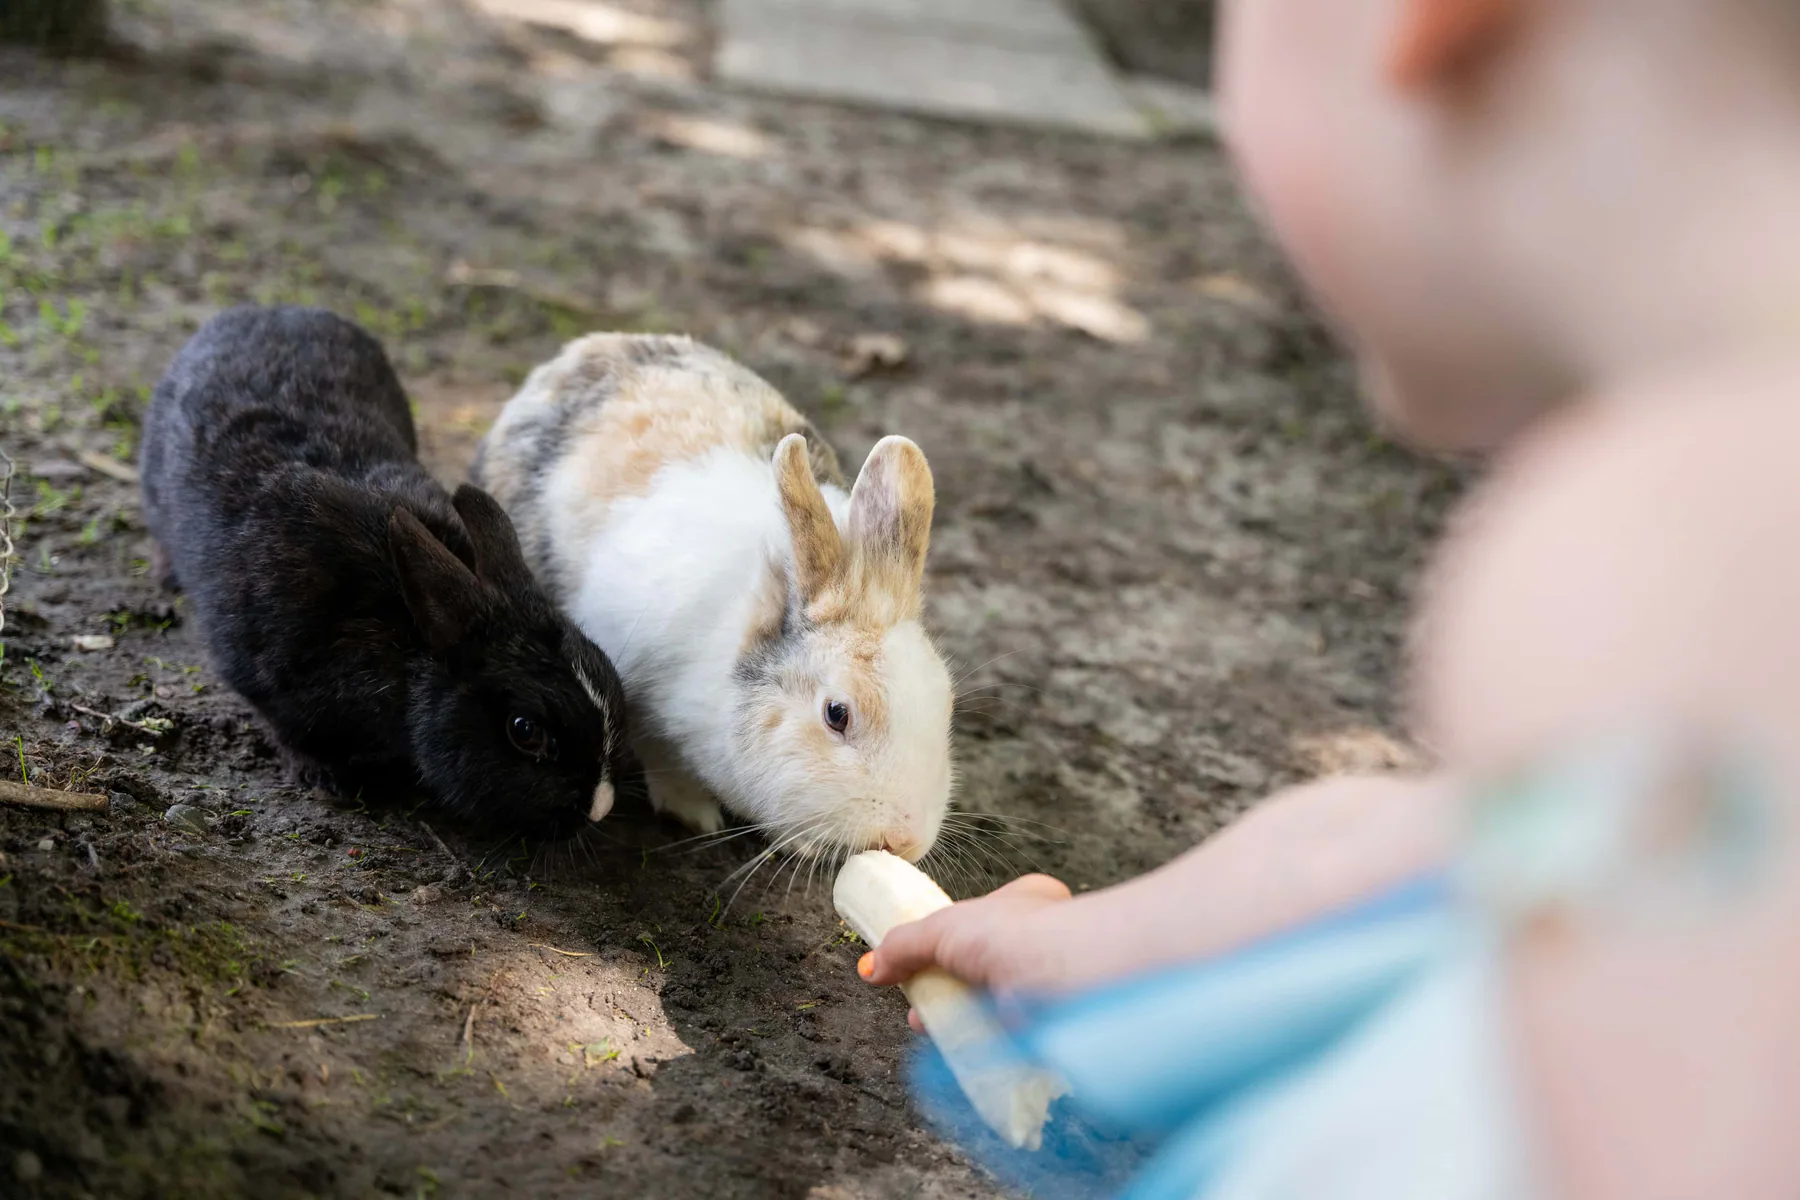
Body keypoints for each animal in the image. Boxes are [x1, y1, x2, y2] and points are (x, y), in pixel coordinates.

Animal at [140, 305, 630, 839]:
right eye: (525, 731)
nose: (600, 806)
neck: (405, 646)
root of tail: (266, 309)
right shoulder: (260, 672)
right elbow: (285, 729)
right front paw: (324, 778)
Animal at [472, 333, 952, 863]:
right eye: (837, 714)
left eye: (945, 701)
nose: (906, 839)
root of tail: (588, 348)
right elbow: (664, 758)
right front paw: (692, 813)